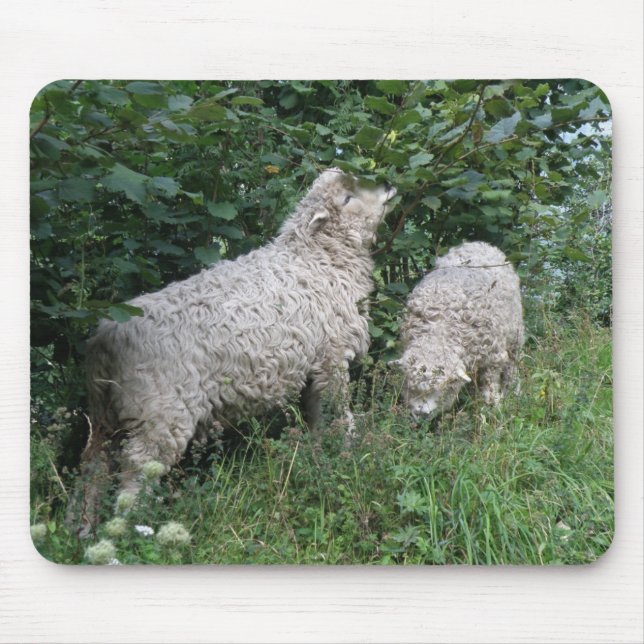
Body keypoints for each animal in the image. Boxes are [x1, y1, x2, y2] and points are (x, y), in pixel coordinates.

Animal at [71, 168, 397, 532]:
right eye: (347, 198)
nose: (387, 185)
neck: (317, 259)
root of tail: (105, 337)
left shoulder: (313, 363)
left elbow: (315, 415)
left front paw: (317, 453)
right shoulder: (332, 357)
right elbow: (338, 412)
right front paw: (348, 451)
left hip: (106, 414)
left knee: (93, 465)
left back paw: (80, 527)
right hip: (159, 413)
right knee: (137, 469)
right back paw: (129, 528)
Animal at [395, 241, 524, 418]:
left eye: (441, 388)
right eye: (411, 386)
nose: (422, 413)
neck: (439, 330)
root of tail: (477, 243)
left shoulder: (493, 358)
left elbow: (489, 387)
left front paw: (493, 408)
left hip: (515, 336)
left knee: (512, 366)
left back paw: (512, 391)